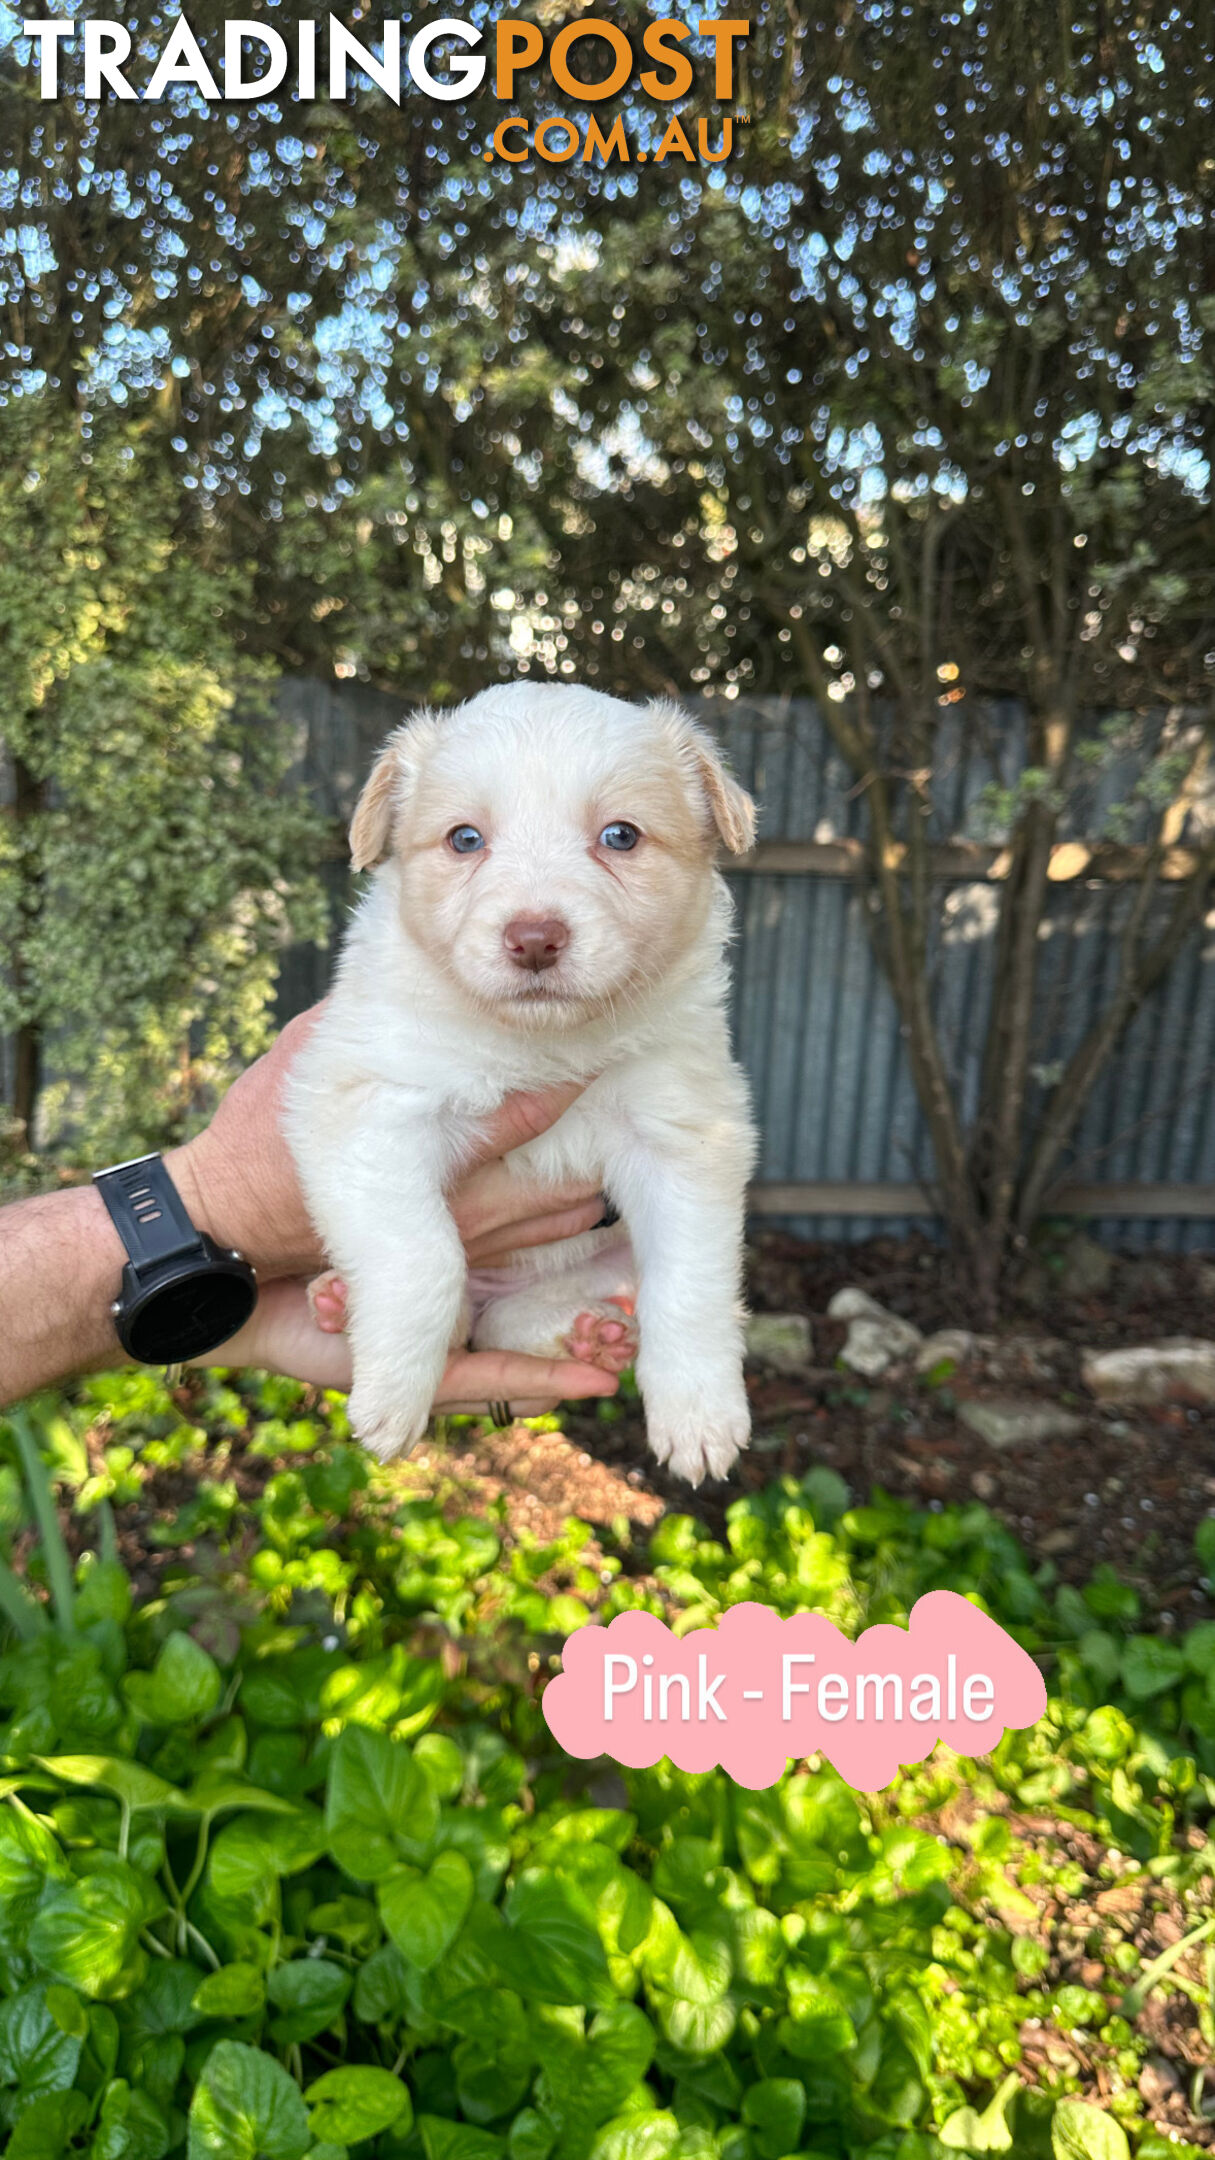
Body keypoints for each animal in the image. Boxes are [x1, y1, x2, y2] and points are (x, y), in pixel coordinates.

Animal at [283, 678, 756, 1486]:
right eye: (464, 840)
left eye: (620, 836)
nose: (534, 939)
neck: (540, 1045)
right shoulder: (370, 1103)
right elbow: (424, 1255)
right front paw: (391, 1396)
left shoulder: (686, 1134)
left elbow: (690, 1283)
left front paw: (699, 1416)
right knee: (465, 1314)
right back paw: (340, 1302)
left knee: (517, 1318)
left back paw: (589, 1333)